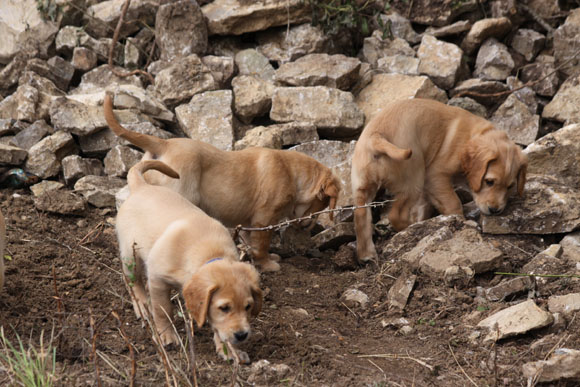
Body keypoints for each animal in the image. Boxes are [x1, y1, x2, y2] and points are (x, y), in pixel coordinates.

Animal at [104, 93, 340, 272]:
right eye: (323, 204)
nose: (312, 227)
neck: (293, 173)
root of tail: (165, 143)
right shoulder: (264, 219)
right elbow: (262, 245)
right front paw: (267, 264)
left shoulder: (248, 223)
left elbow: (251, 244)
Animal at [116, 158, 262, 364]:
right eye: (224, 308)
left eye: (248, 306)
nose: (242, 335)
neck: (208, 253)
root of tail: (141, 187)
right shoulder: (157, 280)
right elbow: (163, 310)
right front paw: (166, 335)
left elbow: (218, 328)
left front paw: (229, 351)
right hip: (131, 254)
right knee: (131, 280)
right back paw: (142, 305)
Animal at [352, 98, 528, 264]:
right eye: (489, 181)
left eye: (510, 187)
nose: (495, 210)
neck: (472, 135)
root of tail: (376, 136)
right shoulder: (435, 175)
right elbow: (453, 202)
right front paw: (459, 221)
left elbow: (427, 203)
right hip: (414, 179)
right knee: (395, 215)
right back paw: (411, 227)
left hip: (363, 186)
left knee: (361, 216)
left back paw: (366, 255)